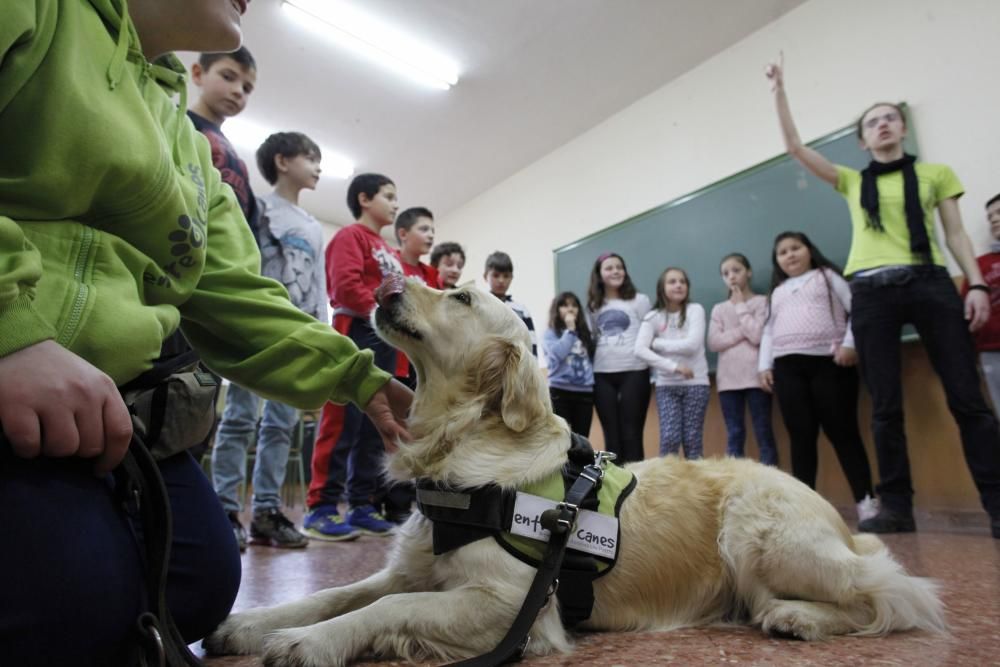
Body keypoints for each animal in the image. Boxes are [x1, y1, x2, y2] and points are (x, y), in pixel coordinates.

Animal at [205, 278, 944, 667]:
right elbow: (340, 592)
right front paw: (256, 623)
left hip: (760, 534)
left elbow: (385, 608)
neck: (457, 440)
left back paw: (800, 617)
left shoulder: (510, 605)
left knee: (894, 593)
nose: (386, 286)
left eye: (461, 297)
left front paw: (307, 643)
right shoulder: (412, 568)